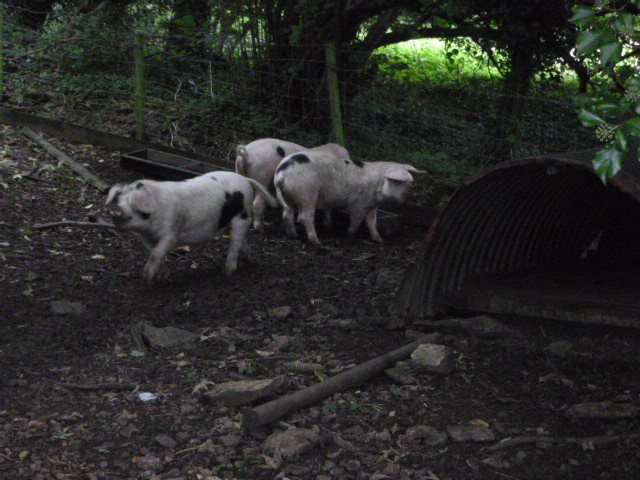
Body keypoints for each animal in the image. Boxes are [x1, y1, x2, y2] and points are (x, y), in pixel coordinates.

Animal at [105, 171, 278, 282]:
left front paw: (146, 278)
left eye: (133, 205)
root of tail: (245, 179)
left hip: (241, 217)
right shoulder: (146, 238)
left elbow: (156, 253)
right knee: (242, 241)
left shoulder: (170, 234)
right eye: (119, 200)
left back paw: (227, 273)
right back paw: (250, 260)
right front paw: (162, 276)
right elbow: (155, 254)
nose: (115, 208)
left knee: (235, 244)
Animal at [272, 152, 422, 246]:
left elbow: (372, 222)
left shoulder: (372, 205)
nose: (416, 190)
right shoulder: (359, 203)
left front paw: (379, 240)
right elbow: (357, 219)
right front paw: (350, 234)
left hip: (287, 197)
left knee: (287, 214)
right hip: (307, 194)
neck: (377, 185)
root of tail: (281, 174)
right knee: (304, 217)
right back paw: (317, 242)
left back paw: (293, 235)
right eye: (398, 181)